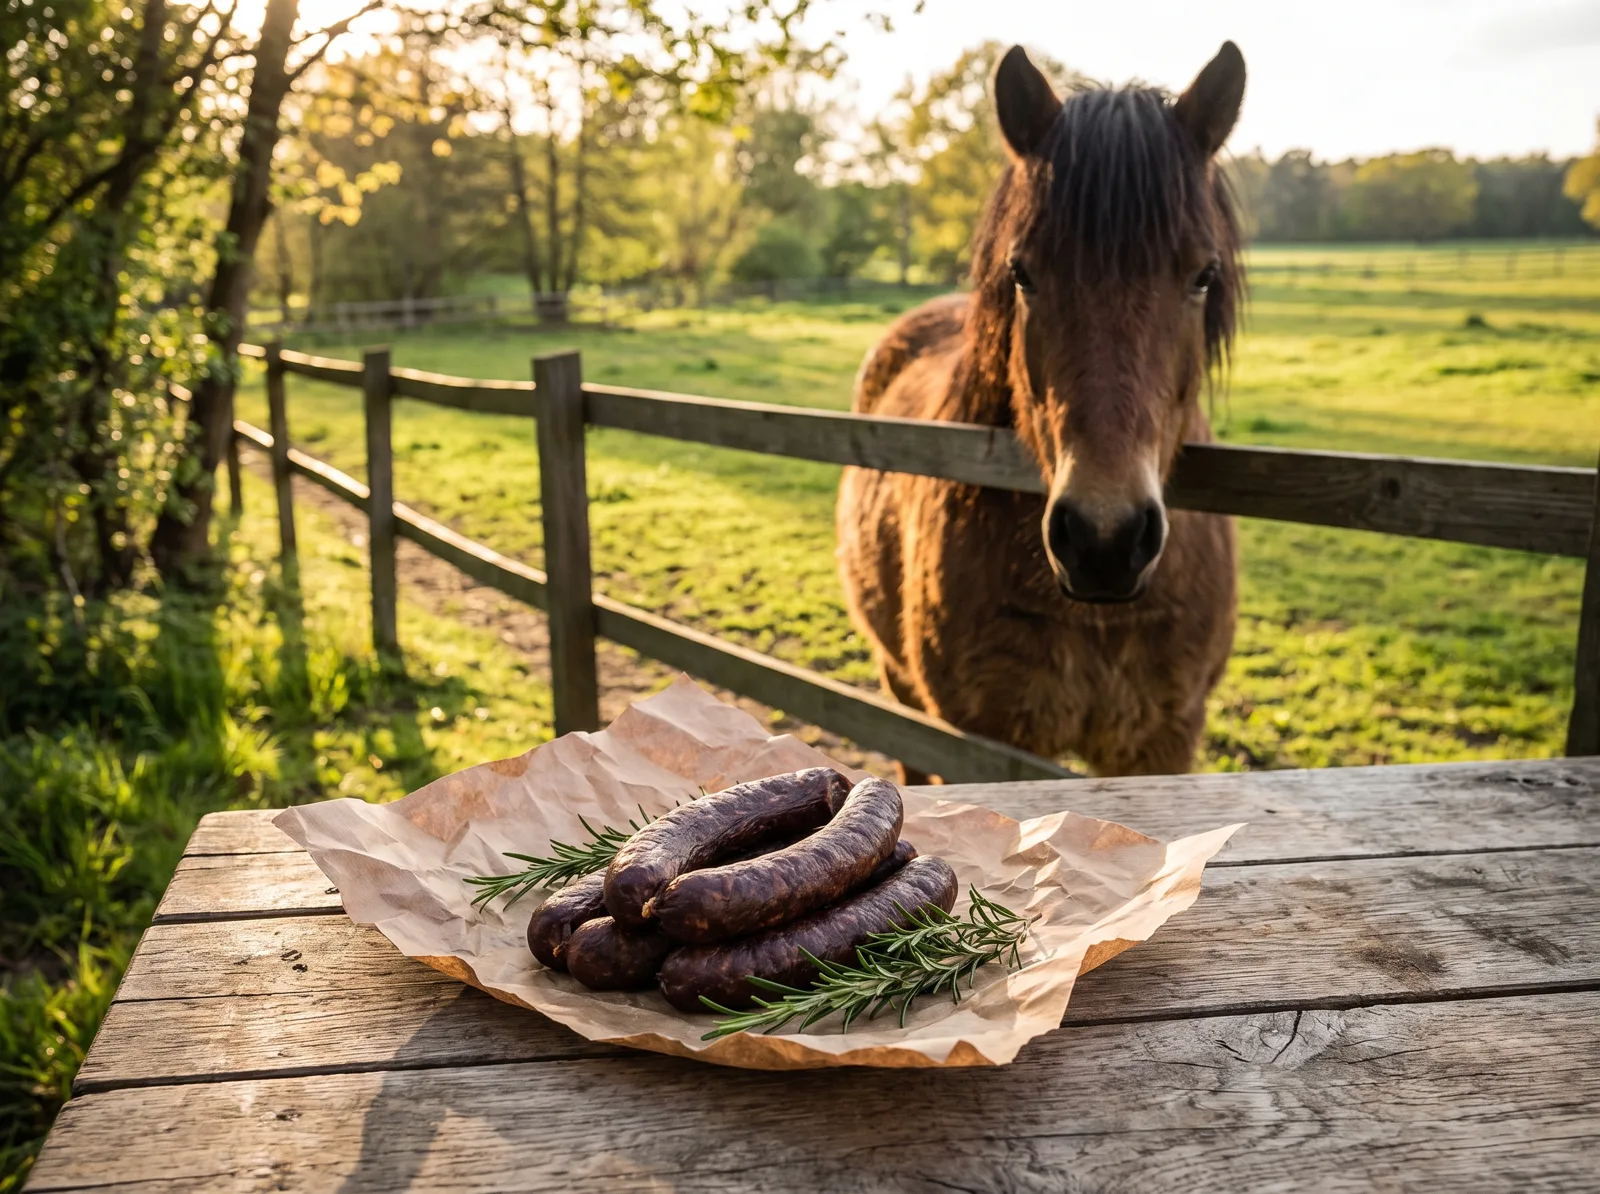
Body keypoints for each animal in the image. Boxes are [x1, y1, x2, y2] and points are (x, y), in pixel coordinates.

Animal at [837, 42, 1246, 780]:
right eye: (1021, 272)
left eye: (1204, 275)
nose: (1104, 541)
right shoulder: (977, 739)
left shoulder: (1162, 741)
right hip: (899, 682)